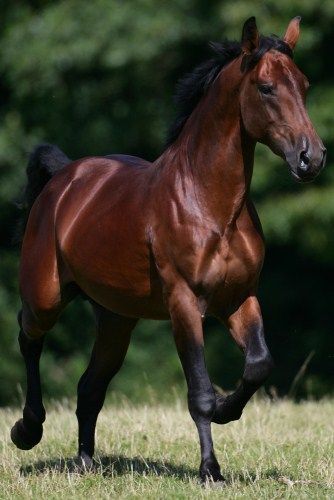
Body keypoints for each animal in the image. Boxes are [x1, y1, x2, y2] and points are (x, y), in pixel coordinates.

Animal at [11, 17, 326, 482]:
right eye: (267, 87)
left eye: (303, 85)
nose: (311, 159)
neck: (209, 204)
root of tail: (64, 177)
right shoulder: (184, 304)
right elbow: (199, 392)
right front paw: (210, 470)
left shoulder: (240, 299)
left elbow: (259, 364)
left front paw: (228, 411)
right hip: (46, 297)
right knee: (29, 337)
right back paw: (26, 431)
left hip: (116, 320)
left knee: (89, 386)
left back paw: (86, 464)